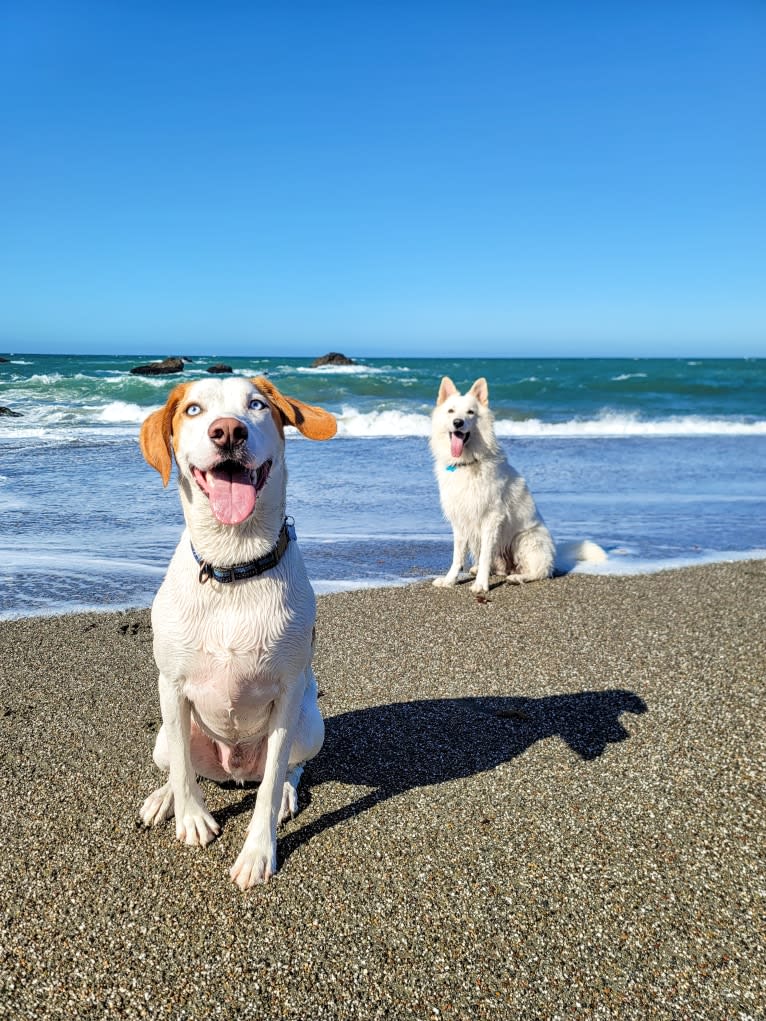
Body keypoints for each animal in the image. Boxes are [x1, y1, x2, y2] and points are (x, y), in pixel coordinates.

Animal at [138, 375, 334, 886]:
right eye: (193, 409)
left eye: (258, 404)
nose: (228, 431)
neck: (235, 566)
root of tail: (232, 770)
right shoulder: (171, 685)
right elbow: (183, 769)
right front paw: (190, 817)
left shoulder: (288, 693)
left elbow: (270, 784)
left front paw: (258, 851)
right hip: (164, 737)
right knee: (180, 763)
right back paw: (164, 799)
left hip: (310, 725)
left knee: (290, 769)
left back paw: (285, 794)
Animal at [433, 379, 604, 596]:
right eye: (451, 411)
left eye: (470, 412)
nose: (458, 423)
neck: (468, 462)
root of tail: (554, 556)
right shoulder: (460, 520)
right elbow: (457, 557)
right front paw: (450, 580)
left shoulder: (491, 518)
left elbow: (485, 556)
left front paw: (480, 585)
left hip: (524, 540)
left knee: (539, 572)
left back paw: (516, 577)